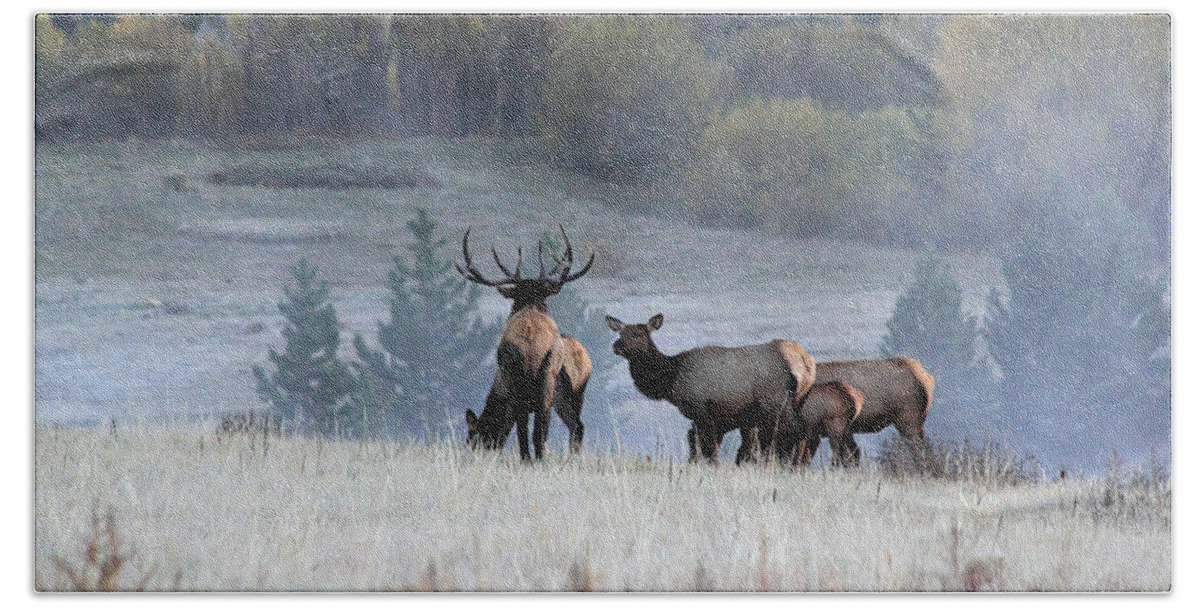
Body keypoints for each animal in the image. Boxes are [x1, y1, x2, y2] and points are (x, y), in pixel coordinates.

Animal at [456, 227, 592, 460]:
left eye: (473, 437)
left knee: (531, 426)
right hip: (571, 392)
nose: (472, 450)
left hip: (527, 381)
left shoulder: (508, 395)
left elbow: (506, 431)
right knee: (573, 426)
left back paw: (530, 458)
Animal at [604, 314, 820, 465]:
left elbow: (706, 445)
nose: (617, 345)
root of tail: (805, 362)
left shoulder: (701, 407)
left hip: (776, 403)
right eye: (620, 332)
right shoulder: (721, 417)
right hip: (797, 401)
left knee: (798, 431)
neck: (671, 380)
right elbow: (702, 444)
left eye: (638, 333)